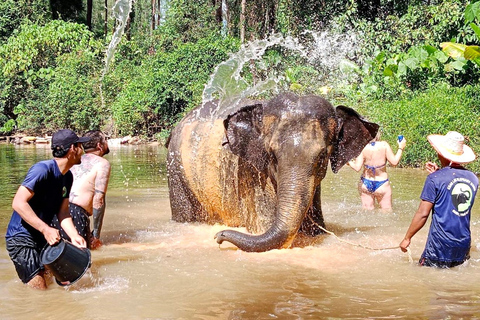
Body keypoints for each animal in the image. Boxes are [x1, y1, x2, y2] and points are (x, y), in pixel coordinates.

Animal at [166, 91, 378, 251]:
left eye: (322, 158)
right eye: (272, 156)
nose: (218, 236)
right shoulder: (252, 177)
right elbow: (264, 228)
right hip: (176, 171)